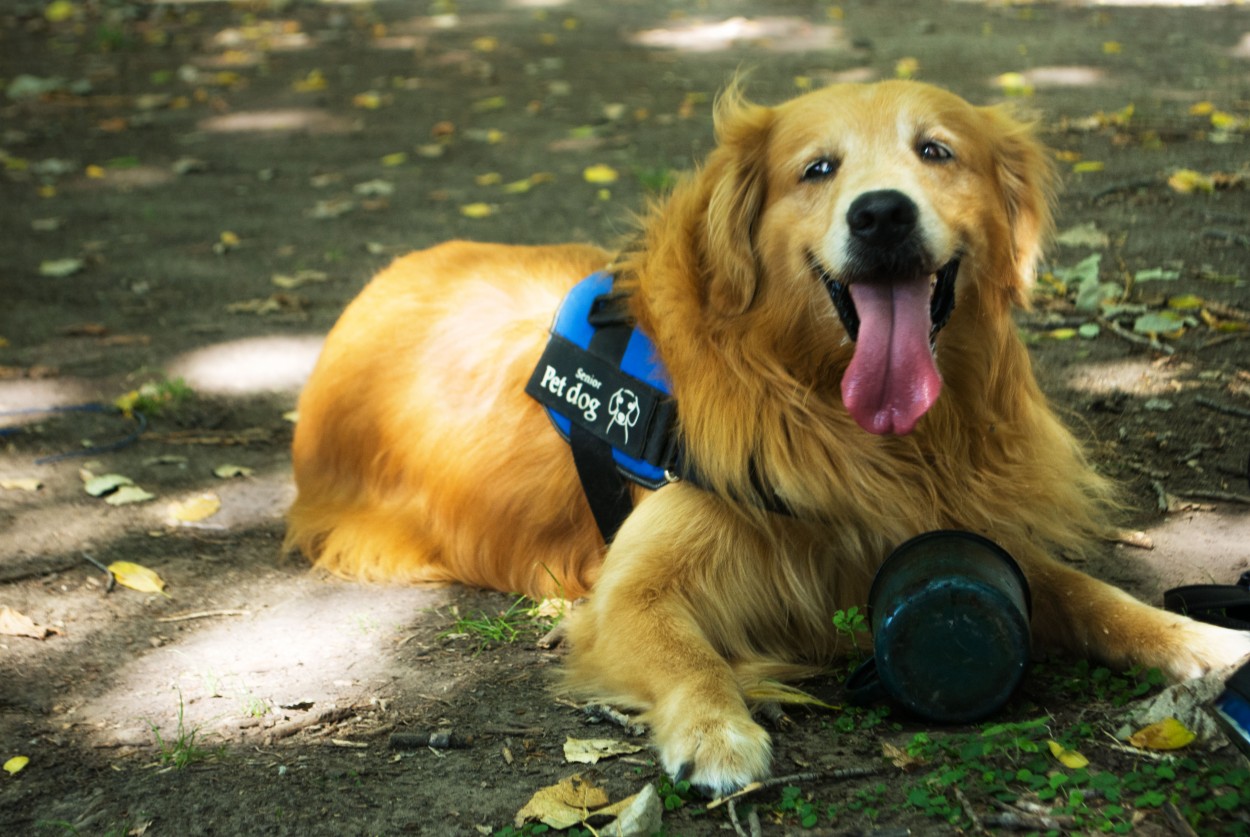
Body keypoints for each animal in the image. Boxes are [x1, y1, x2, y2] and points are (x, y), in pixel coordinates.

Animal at [287, 81, 1250, 794]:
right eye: (816, 169)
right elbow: (689, 653)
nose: (881, 215)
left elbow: (1098, 597)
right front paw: (717, 730)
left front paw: (1210, 641)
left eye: (936, 151)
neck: (828, 404)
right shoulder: (628, 591)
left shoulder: (944, 525)